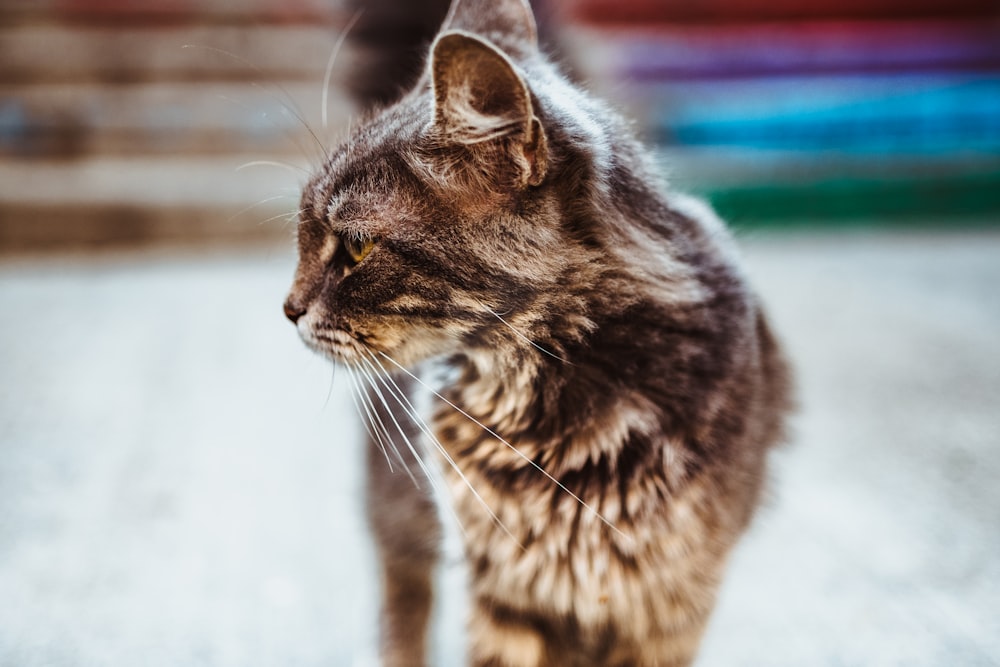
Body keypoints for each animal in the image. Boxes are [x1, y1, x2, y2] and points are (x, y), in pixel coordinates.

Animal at [282, 1, 788, 664]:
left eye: (357, 248)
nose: (288, 309)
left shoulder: (670, 600)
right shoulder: (505, 593)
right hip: (399, 502)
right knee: (402, 597)